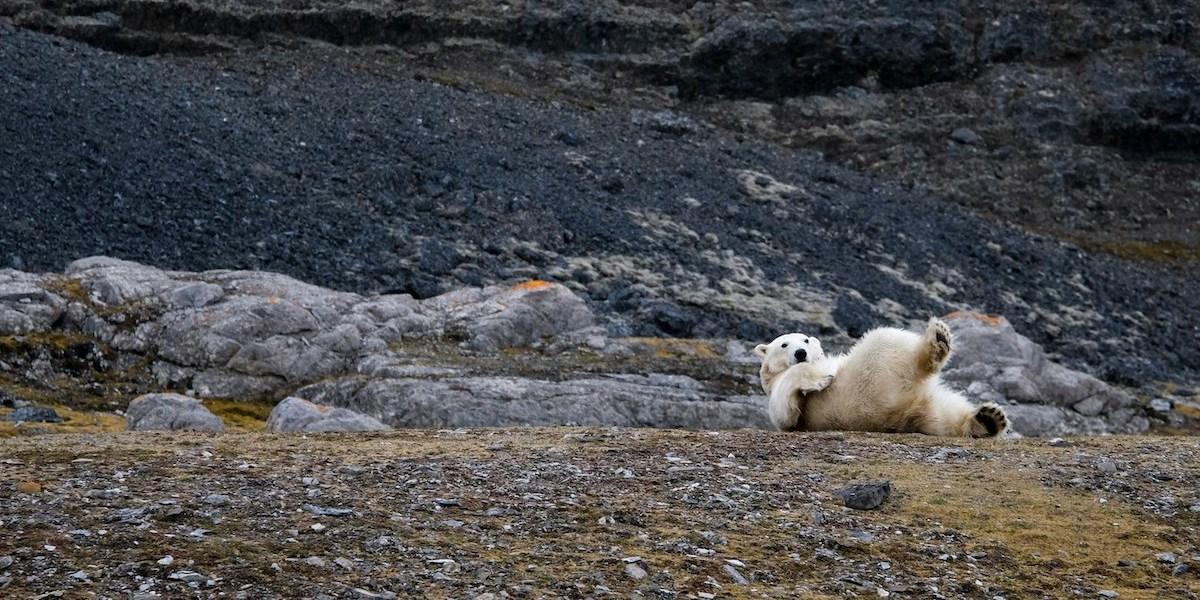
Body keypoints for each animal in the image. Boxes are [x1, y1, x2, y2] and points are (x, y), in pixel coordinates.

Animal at [753, 316, 1008, 439]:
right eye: (784, 344)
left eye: (805, 340)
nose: (801, 352)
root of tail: (900, 413)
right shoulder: (784, 396)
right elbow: (786, 411)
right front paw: (821, 380)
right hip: (868, 381)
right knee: (885, 337)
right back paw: (937, 340)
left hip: (921, 406)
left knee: (945, 416)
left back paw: (988, 419)